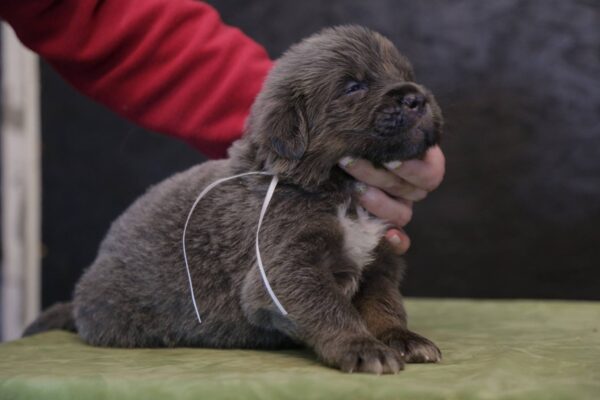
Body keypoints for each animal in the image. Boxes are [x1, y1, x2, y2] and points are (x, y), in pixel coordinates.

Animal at [27, 25, 440, 376]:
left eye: (404, 73)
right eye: (354, 85)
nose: (417, 98)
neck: (339, 187)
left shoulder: (379, 261)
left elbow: (385, 305)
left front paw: (403, 339)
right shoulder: (284, 267)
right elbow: (330, 307)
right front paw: (361, 347)